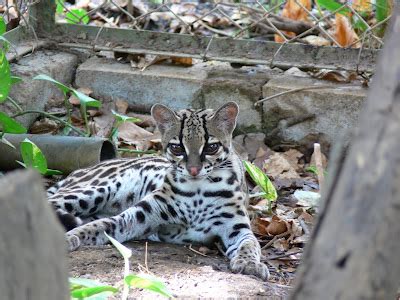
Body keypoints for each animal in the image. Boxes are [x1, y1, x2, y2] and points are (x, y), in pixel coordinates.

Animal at [48, 102, 270, 278]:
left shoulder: (237, 227)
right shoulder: (137, 216)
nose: (193, 169)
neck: (198, 190)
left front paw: (250, 263)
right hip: (93, 191)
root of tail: (81, 170)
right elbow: (102, 225)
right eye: (177, 148)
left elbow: (250, 244)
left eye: (211, 147)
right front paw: (69, 237)